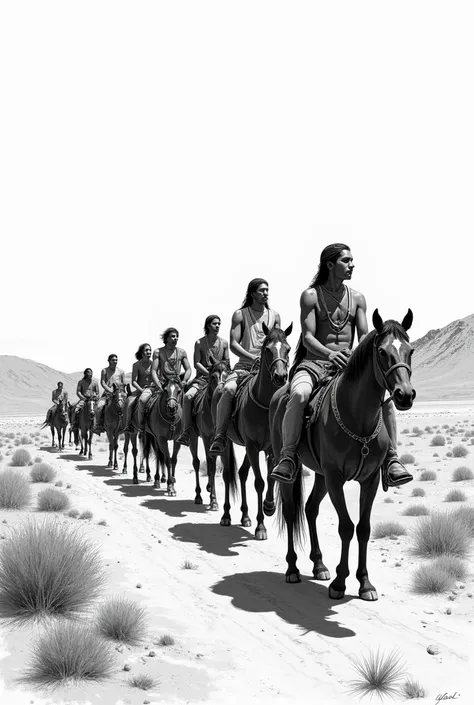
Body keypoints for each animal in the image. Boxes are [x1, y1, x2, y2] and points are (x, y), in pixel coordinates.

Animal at [190, 360, 232, 508]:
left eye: (227, 375)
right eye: (213, 377)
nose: (221, 391)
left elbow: (216, 466)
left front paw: (212, 494)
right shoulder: (207, 438)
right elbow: (211, 468)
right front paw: (213, 500)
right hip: (193, 437)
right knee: (196, 463)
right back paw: (198, 496)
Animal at [216, 322, 292, 540]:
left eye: (288, 349)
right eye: (268, 350)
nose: (280, 376)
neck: (264, 405)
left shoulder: (270, 449)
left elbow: (270, 478)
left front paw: (269, 506)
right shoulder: (252, 445)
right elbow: (259, 482)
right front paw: (261, 527)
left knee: (242, 473)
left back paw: (245, 516)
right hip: (228, 443)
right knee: (228, 474)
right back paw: (226, 515)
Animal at [270, 310, 414, 604]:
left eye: (410, 350)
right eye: (382, 352)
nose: (404, 395)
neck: (358, 417)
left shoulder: (369, 480)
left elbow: (364, 528)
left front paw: (365, 583)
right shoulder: (336, 478)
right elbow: (346, 527)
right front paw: (339, 582)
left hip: (320, 475)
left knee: (310, 508)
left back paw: (319, 565)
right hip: (292, 469)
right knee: (291, 511)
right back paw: (293, 569)